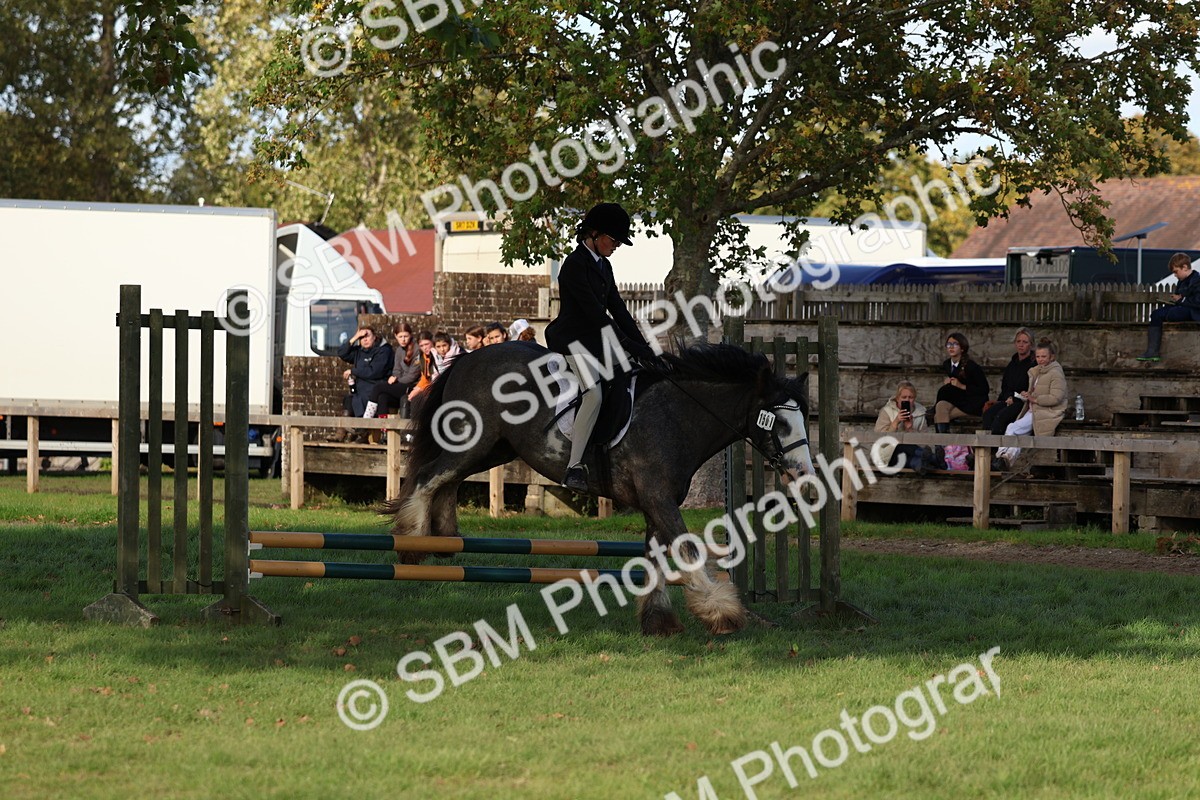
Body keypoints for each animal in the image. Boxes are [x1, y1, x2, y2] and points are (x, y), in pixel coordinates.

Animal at [383, 341, 813, 636]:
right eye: (777, 422)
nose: (804, 477)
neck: (676, 417)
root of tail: (469, 358)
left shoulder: (655, 503)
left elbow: (654, 560)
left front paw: (658, 620)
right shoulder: (658, 499)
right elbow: (688, 551)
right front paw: (721, 612)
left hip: (494, 448)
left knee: (448, 480)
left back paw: (442, 538)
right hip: (474, 441)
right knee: (429, 477)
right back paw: (411, 543)